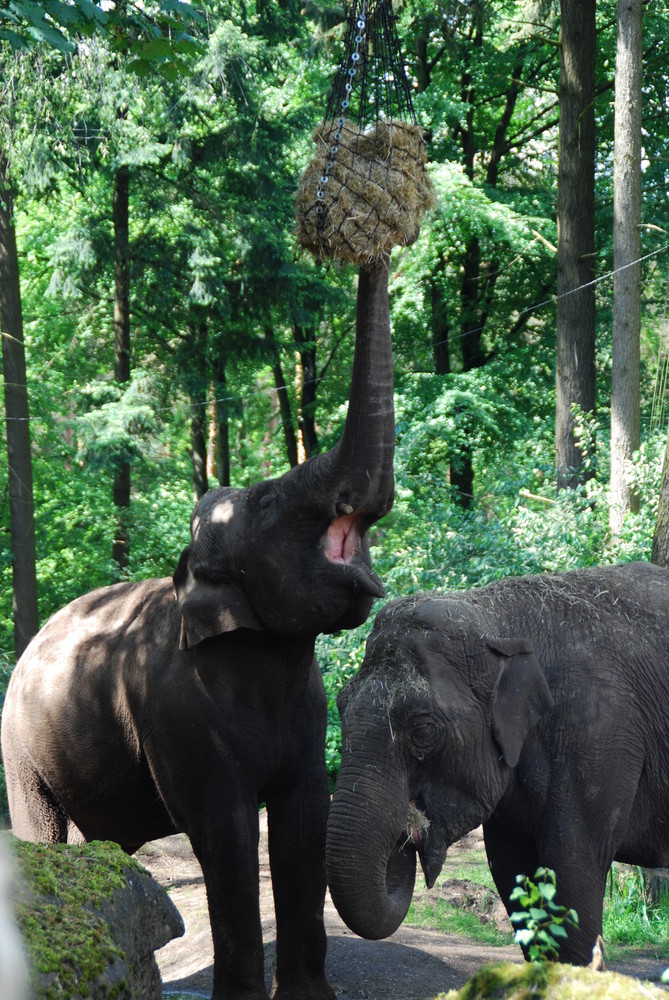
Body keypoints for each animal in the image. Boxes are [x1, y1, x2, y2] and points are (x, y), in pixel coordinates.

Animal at [0, 260, 394, 1000]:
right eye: (268, 503)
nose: (374, 255)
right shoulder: (180, 716)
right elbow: (227, 836)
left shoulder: (306, 711)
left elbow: (303, 827)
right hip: (19, 749)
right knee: (42, 828)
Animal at [326, 560, 668, 964]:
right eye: (340, 705)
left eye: (423, 729)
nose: (408, 831)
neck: (495, 618)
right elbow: (513, 875)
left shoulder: (598, 731)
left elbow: (573, 875)